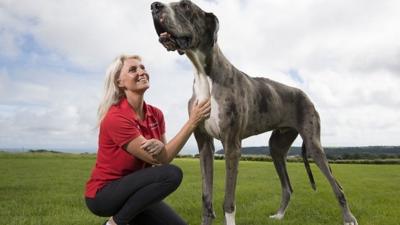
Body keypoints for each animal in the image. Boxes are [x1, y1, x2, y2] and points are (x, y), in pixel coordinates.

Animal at [152, 0, 358, 224]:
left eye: (186, 6)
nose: (154, 6)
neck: (203, 75)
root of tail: (306, 95)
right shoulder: (204, 144)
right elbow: (206, 199)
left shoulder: (232, 145)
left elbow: (228, 201)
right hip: (276, 147)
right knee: (287, 187)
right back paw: (279, 215)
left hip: (313, 145)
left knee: (337, 186)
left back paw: (348, 218)